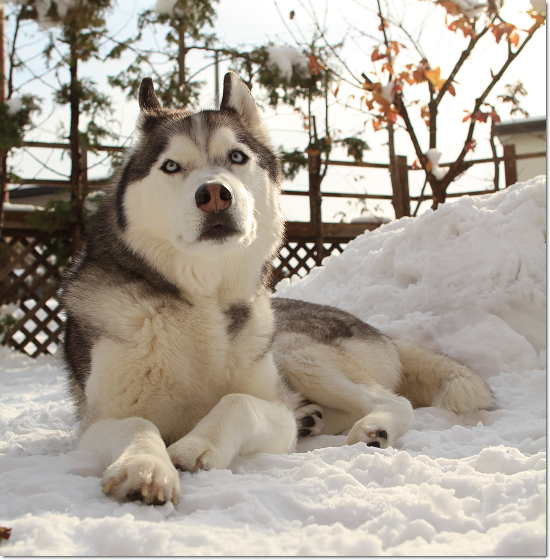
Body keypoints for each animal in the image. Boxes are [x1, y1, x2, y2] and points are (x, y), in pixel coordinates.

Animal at [61, 72, 496, 506]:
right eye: (170, 166)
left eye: (237, 157)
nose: (215, 194)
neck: (204, 299)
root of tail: (381, 332)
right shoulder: (96, 424)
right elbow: (137, 424)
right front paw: (146, 467)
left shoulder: (273, 413)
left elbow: (238, 402)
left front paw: (198, 444)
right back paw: (313, 419)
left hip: (293, 350)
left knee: (394, 400)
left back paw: (371, 427)